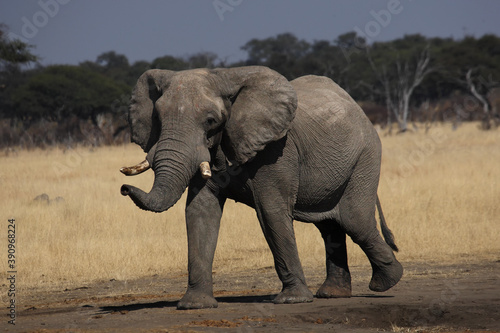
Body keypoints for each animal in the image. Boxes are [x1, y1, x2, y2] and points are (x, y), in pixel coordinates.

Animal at [120, 65, 402, 308]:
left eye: (211, 121)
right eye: (158, 118)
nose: (124, 188)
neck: (224, 77)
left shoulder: (276, 151)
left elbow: (270, 211)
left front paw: (292, 300)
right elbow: (200, 211)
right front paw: (194, 305)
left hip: (366, 157)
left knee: (355, 221)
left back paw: (386, 282)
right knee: (330, 226)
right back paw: (333, 294)